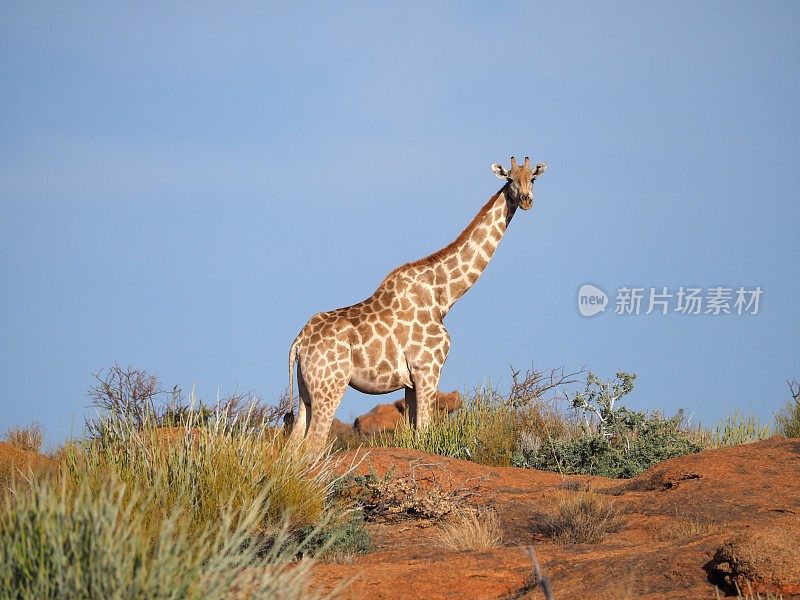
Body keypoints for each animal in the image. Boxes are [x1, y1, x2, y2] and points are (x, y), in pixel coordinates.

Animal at [286, 155, 544, 450]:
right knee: (314, 444)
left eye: (533, 178)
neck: (443, 295)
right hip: (330, 386)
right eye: (509, 179)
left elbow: (414, 435)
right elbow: (424, 432)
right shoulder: (428, 369)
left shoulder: (410, 383)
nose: (526, 200)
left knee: (293, 445)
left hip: (305, 393)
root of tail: (298, 343)